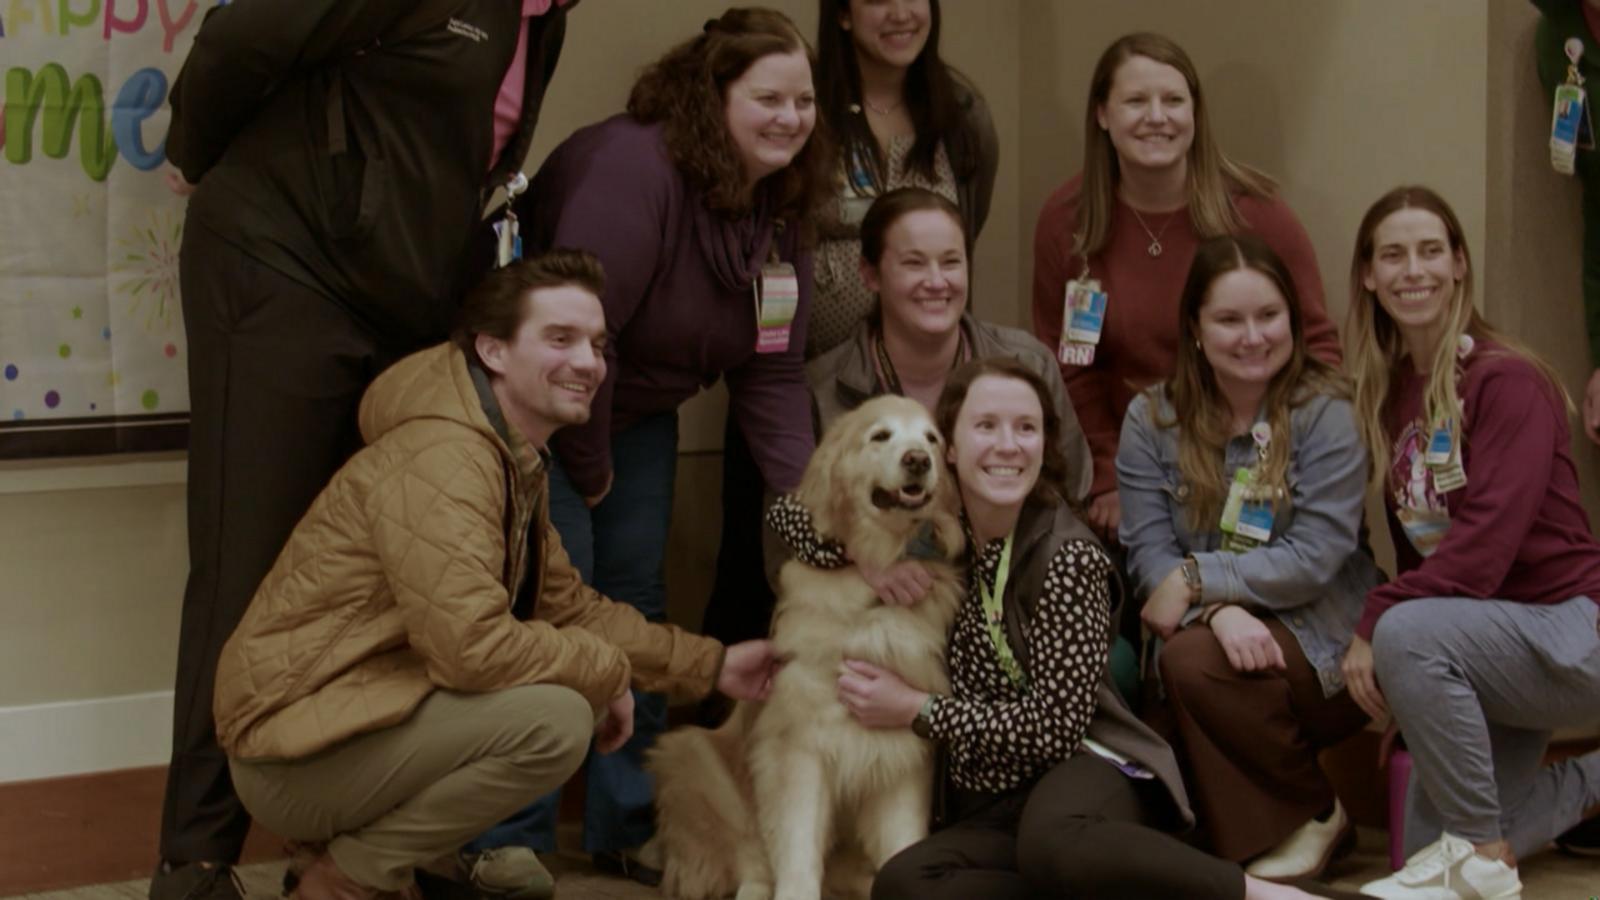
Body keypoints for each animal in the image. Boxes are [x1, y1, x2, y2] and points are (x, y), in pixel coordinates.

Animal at [646, 395, 960, 896]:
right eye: (880, 436)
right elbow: (797, 849)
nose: (918, 460)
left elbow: (902, 842)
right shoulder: (798, 748)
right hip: (692, 759)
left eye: (931, 439)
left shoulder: (903, 751)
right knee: (751, 860)